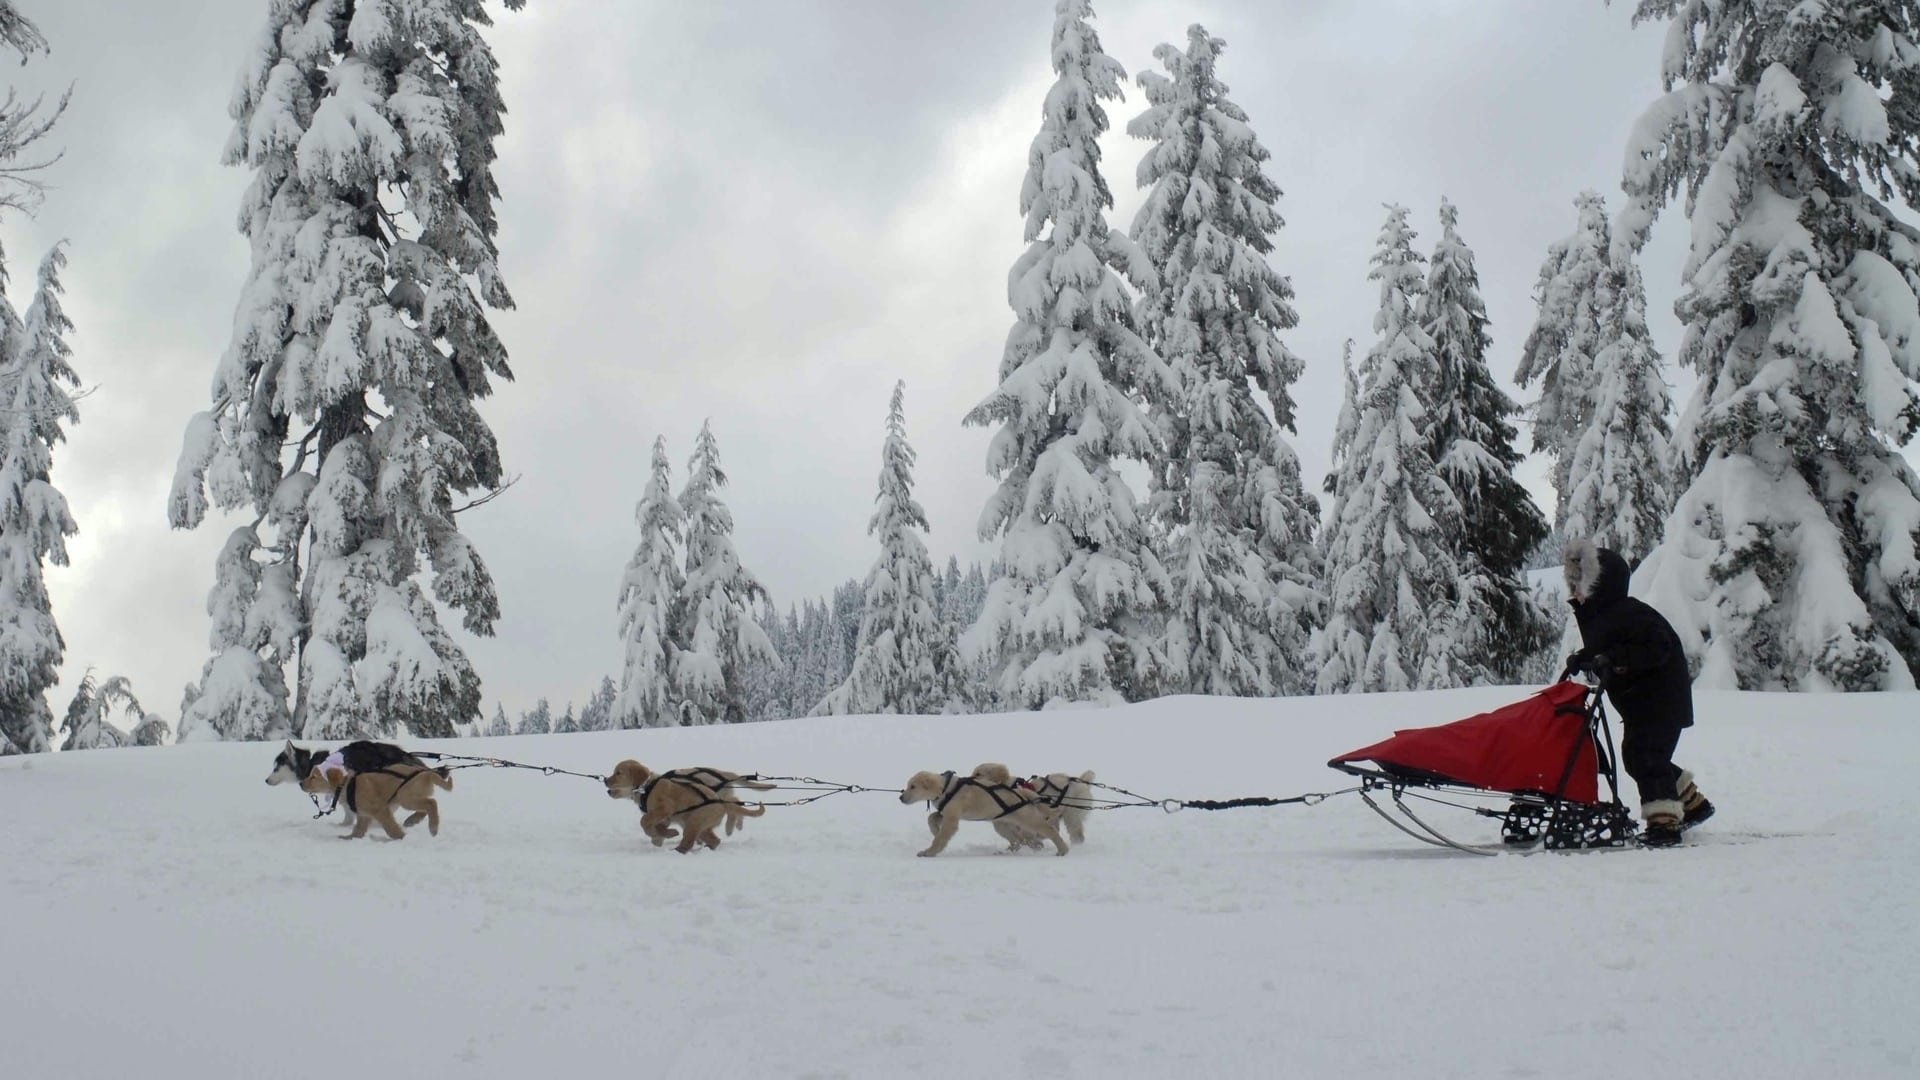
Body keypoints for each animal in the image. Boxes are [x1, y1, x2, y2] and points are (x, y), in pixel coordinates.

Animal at [303, 760, 453, 837]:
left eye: (314, 777)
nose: (300, 783)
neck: (348, 784)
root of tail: (427, 773)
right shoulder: (364, 814)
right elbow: (358, 829)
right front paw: (349, 838)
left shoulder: (380, 809)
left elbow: (390, 826)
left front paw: (400, 837)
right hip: (408, 797)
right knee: (425, 806)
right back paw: (413, 820)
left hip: (405, 796)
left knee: (431, 803)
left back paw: (433, 828)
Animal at [606, 757, 771, 849]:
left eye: (618, 773)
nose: (605, 780)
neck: (647, 786)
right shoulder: (664, 818)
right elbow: (656, 827)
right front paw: (662, 837)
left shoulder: (665, 808)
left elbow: (644, 821)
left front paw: (660, 836)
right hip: (701, 821)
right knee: (717, 834)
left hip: (696, 820)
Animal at [894, 760, 1067, 853]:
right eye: (909, 785)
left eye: (913, 786)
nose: (901, 797)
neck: (946, 788)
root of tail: (1023, 793)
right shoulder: (947, 812)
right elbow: (932, 817)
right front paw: (934, 830)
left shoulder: (952, 817)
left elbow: (942, 836)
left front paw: (929, 852)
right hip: (1002, 823)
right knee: (1018, 840)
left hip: (1027, 818)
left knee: (1048, 830)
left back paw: (1062, 849)